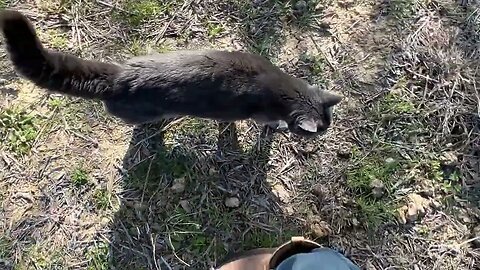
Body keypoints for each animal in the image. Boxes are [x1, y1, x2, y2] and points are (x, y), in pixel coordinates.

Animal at [0, 10, 342, 137]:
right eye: (316, 131)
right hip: (144, 112)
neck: (282, 85)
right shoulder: (258, 112)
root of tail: (118, 76)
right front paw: (275, 128)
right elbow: (262, 122)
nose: (323, 136)